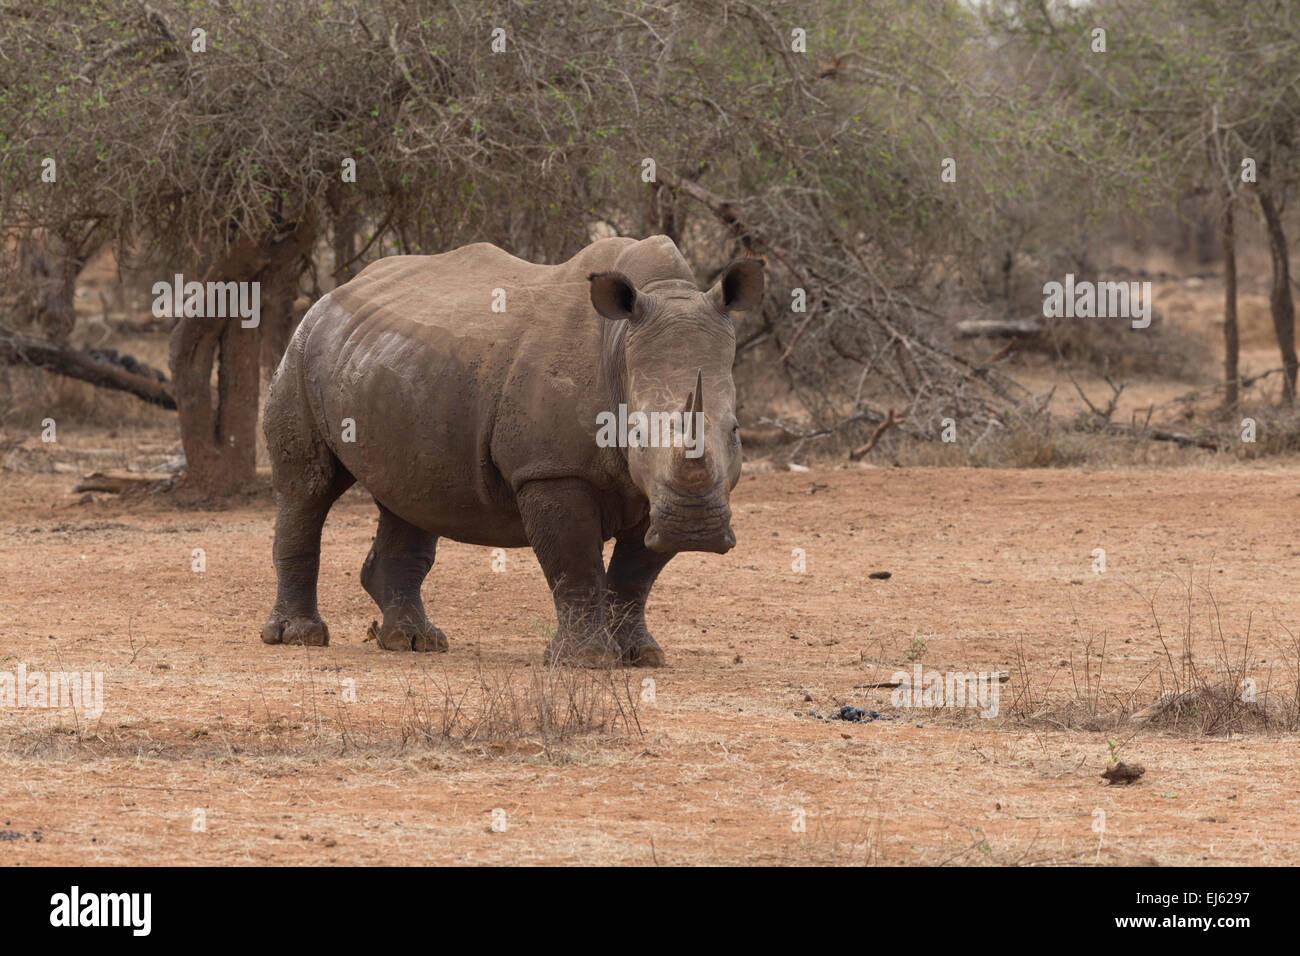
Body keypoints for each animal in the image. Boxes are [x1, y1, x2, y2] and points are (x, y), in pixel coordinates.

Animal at [260, 235, 763, 667]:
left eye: (736, 431)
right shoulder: (550, 470)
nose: (694, 529)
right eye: (635, 434)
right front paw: (586, 662)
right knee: (308, 487)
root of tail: (333, 295)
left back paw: (415, 643)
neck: (619, 346)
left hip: (392, 367)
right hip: (303, 348)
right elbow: (575, 565)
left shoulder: (653, 493)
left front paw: (641, 657)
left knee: (410, 492)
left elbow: (635, 576)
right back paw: (299, 638)